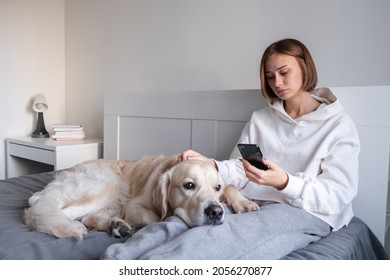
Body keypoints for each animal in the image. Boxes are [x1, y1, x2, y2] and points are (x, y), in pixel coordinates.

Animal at [25, 154, 260, 240]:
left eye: (217, 187)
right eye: (189, 185)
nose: (215, 212)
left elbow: (232, 186)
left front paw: (244, 203)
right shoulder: (133, 204)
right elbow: (156, 218)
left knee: (88, 217)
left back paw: (116, 225)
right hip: (107, 185)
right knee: (66, 214)